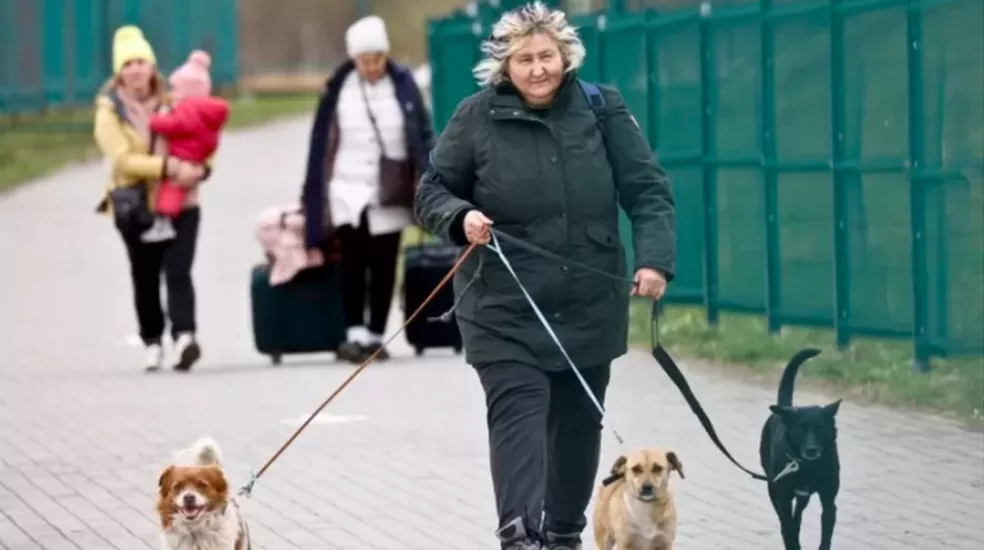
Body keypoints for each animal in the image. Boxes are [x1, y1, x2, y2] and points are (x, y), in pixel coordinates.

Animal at [756, 352, 840, 548]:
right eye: (801, 429)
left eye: (821, 428)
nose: (811, 450)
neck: (808, 467)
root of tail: (786, 409)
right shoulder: (783, 496)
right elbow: (788, 527)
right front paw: (792, 542)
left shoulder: (829, 500)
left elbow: (826, 535)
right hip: (772, 487)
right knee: (785, 520)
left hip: (803, 496)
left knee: (798, 513)